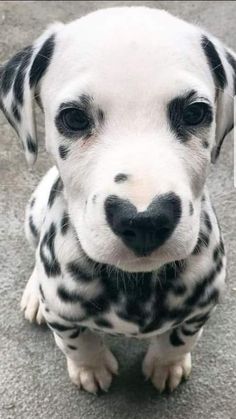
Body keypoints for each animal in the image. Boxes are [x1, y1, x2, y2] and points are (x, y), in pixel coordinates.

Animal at [0, 6, 234, 394]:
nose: (144, 220)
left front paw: (166, 364)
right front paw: (90, 368)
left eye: (195, 113)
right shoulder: (63, 315)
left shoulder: (200, 309)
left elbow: (179, 339)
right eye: (74, 118)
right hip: (33, 212)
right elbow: (78, 342)